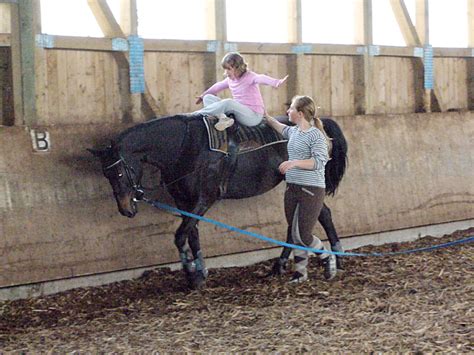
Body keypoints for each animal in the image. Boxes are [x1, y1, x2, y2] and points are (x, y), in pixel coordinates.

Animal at [89, 114, 348, 290]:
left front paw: (191, 276)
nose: (126, 209)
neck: (185, 147)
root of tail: (318, 126)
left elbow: (180, 236)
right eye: (105, 174)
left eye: (119, 172)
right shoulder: (184, 202)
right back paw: (282, 265)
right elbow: (192, 234)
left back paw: (334, 256)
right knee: (307, 219)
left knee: (317, 216)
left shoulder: (205, 199)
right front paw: (200, 273)